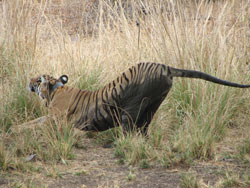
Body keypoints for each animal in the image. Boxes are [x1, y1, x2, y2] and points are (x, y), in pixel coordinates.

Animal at [29, 62, 250, 134]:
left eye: (38, 79)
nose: (29, 81)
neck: (55, 90)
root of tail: (165, 67)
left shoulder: (56, 120)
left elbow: (34, 124)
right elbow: (33, 121)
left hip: (132, 107)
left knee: (131, 129)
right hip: (154, 103)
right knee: (144, 127)